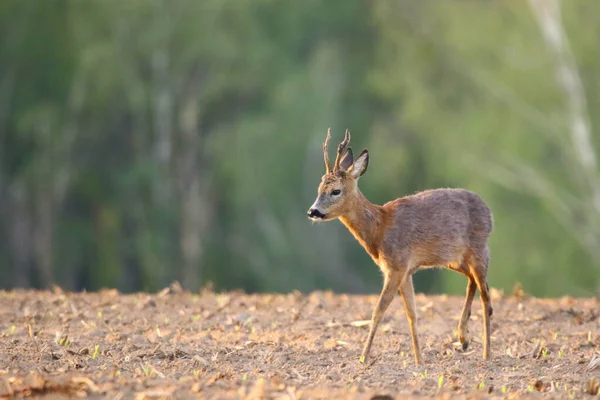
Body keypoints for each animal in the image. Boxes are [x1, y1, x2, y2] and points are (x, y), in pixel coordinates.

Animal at [308, 129, 494, 366]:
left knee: (486, 298)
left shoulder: (396, 266)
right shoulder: (406, 270)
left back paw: (487, 354)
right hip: (454, 258)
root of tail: (489, 210)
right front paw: (419, 360)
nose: (313, 211)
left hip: (479, 249)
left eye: (335, 191)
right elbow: (411, 314)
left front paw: (363, 358)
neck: (379, 228)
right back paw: (463, 339)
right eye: (319, 189)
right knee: (474, 282)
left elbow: (379, 311)